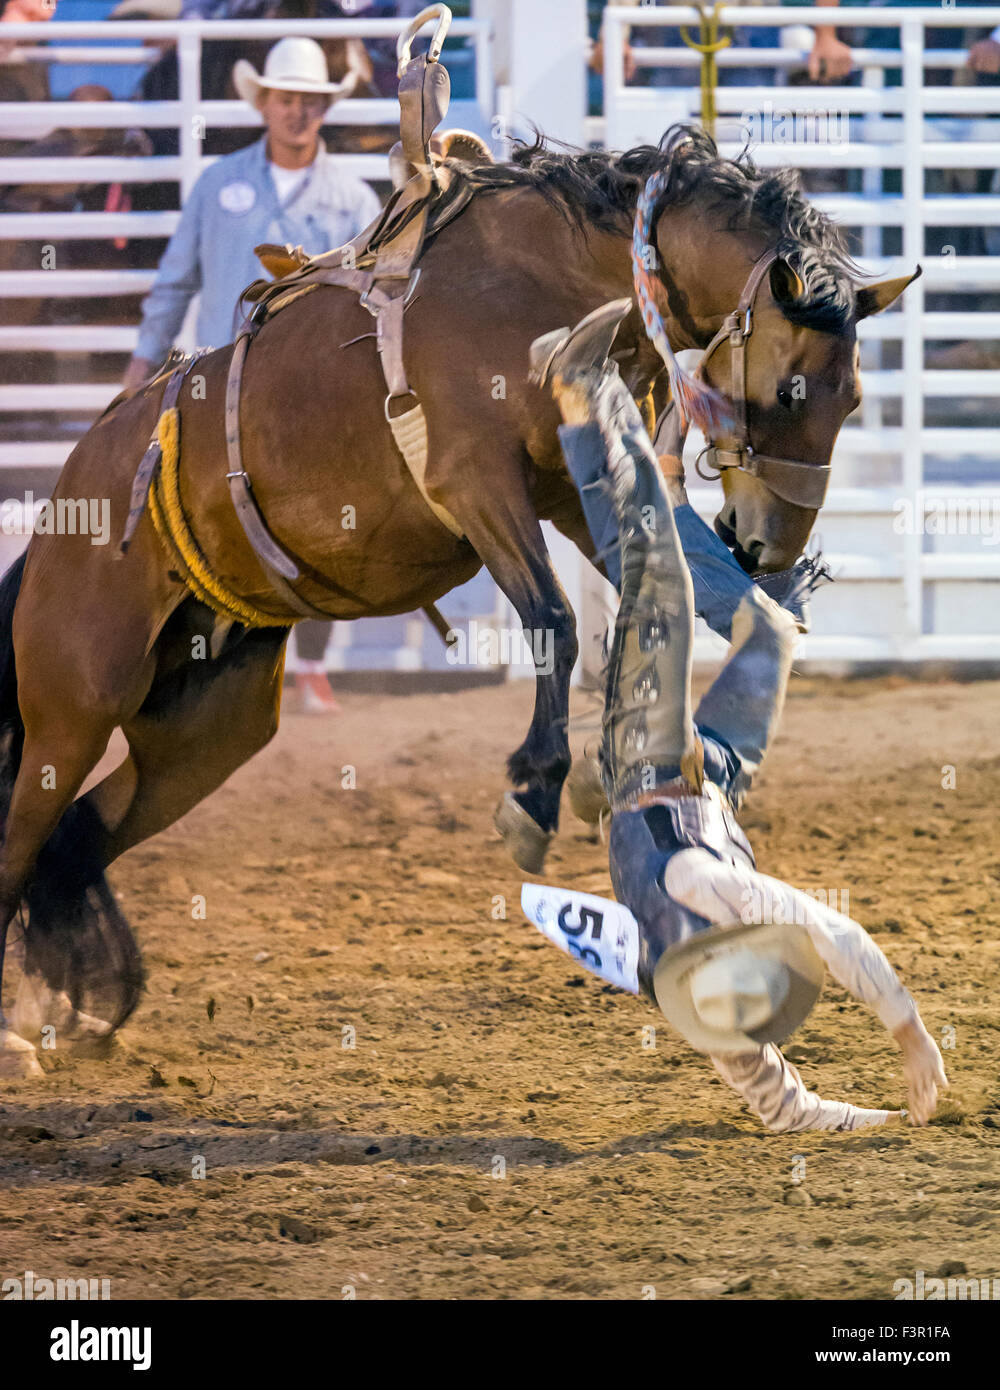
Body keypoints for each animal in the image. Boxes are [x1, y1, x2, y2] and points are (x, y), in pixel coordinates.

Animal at [0, 127, 916, 1075]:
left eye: (853, 396)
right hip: (71, 712)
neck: (554, 283)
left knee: (77, 835)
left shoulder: (583, 489)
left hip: (206, 732)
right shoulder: (477, 484)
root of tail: (65, 502)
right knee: (20, 842)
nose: (774, 545)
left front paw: (662, 763)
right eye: (789, 389)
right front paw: (536, 790)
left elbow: (667, 602)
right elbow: (554, 618)